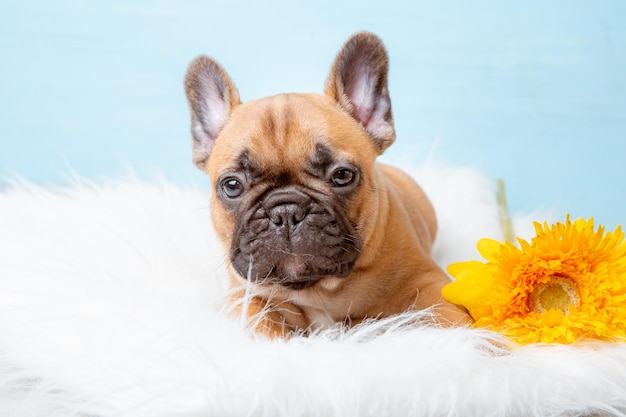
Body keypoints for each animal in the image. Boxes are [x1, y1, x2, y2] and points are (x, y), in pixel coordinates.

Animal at [183, 33, 470, 338]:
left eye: (342, 176)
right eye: (232, 185)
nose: (286, 211)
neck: (322, 288)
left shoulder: (428, 282)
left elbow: (458, 321)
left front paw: (482, 345)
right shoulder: (244, 297)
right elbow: (261, 325)